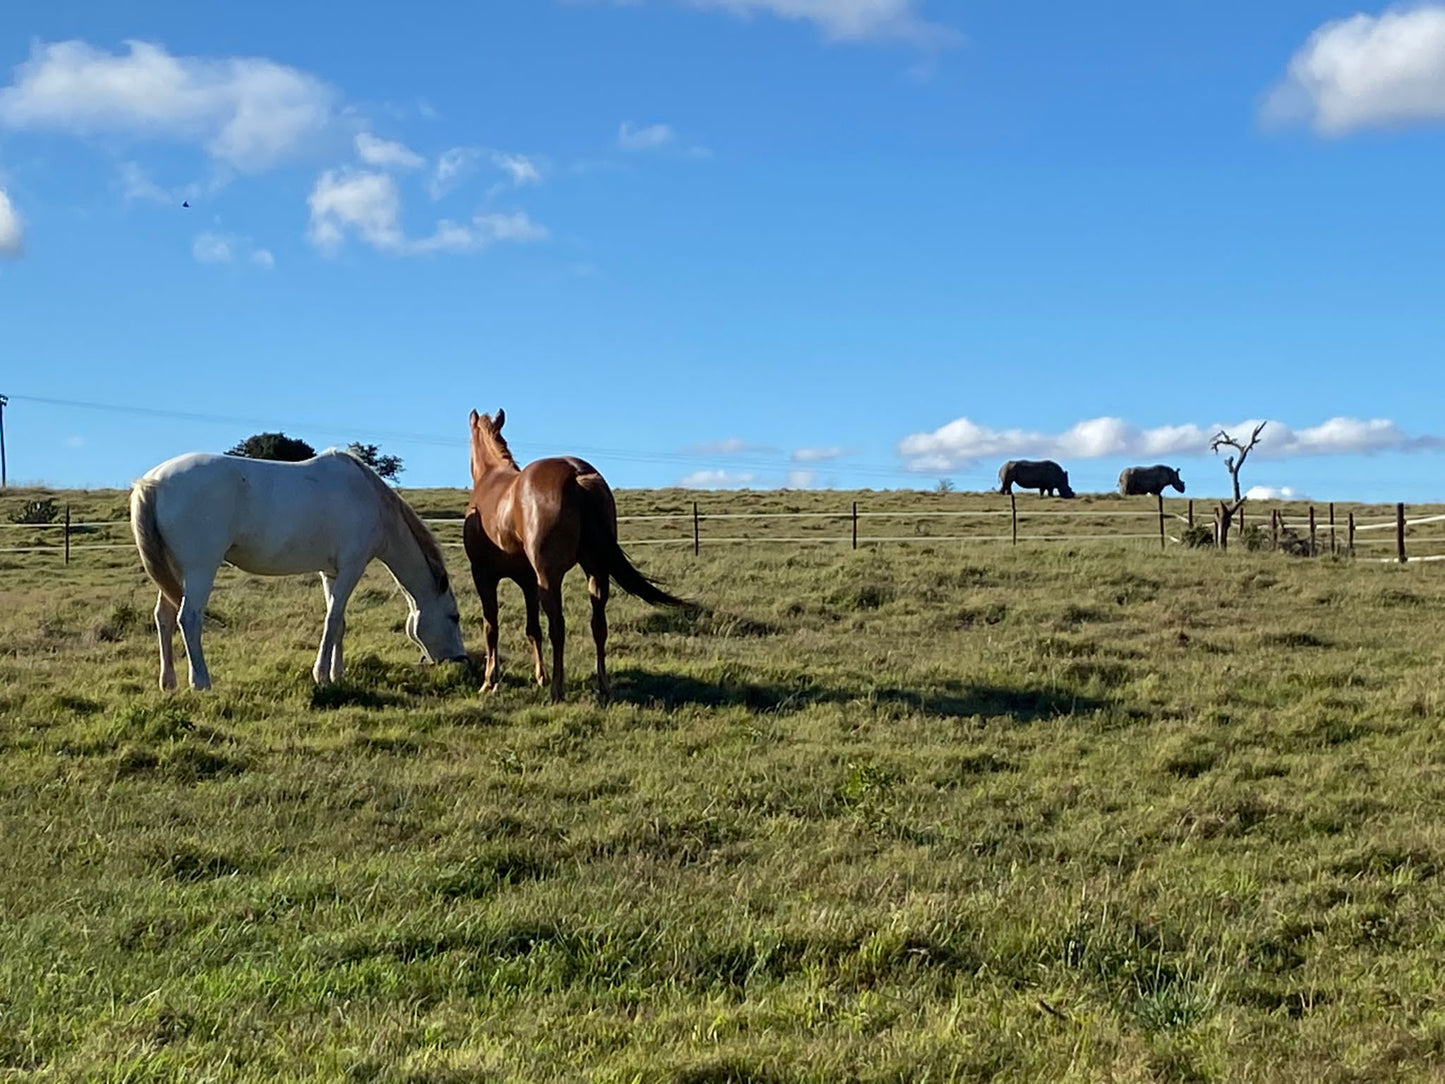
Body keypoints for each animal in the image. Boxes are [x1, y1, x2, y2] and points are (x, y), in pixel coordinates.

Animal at [130, 448, 465, 687]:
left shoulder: (331, 573)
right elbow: (332, 620)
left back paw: (168, 682)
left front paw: (337, 674)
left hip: (174, 571)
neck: (367, 498)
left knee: (164, 617)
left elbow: (339, 622)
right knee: (188, 618)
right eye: (454, 617)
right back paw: (200, 681)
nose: (460, 661)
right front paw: (321, 674)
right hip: (200, 570)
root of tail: (154, 482)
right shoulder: (352, 567)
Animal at [462, 410, 687, 705]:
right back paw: (602, 686)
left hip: (551, 577)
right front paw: (540, 677)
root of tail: (576, 475)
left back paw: (558, 690)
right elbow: (532, 629)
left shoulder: (485, 575)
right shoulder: (527, 580)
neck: (492, 478)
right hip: (596, 573)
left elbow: (492, 627)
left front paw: (490, 681)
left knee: (558, 627)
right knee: (598, 626)